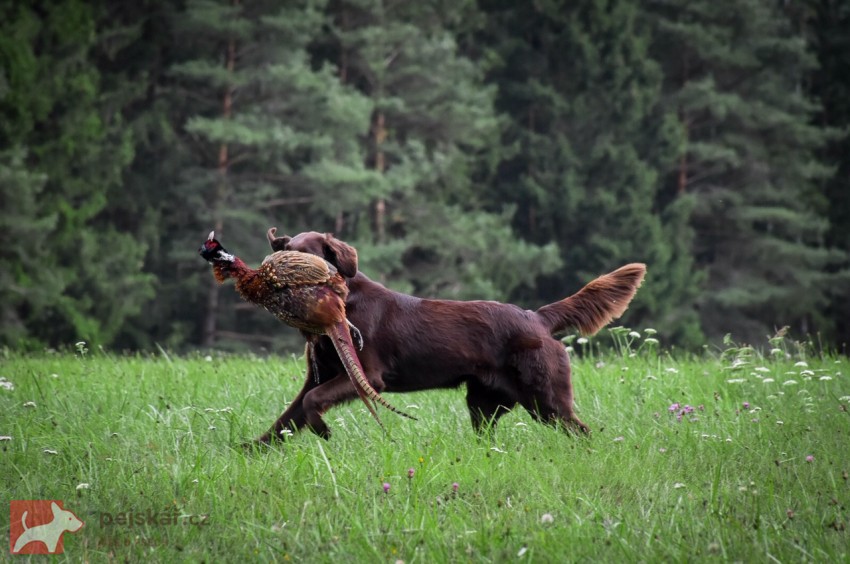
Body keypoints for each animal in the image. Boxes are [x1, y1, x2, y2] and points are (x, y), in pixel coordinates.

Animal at [252, 228, 644, 440]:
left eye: (307, 256)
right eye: (285, 252)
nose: (272, 278)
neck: (344, 300)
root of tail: (535, 317)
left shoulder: (367, 377)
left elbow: (311, 402)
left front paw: (323, 430)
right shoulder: (320, 376)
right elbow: (288, 415)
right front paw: (250, 451)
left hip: (545, 399)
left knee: (580, 430)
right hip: (484, 403)